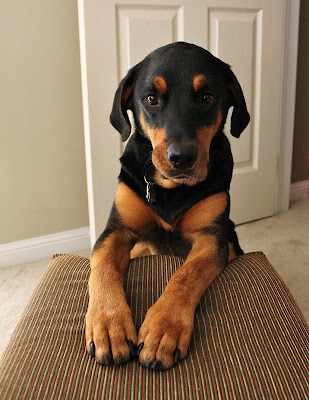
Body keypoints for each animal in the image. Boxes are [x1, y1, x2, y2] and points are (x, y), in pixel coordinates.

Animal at [85, 42, 249, 370]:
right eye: (151, 98)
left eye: (207, 97)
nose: (181, 157)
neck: (172, 190)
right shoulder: (117, 229)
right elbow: (104, 265)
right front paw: (108, 325)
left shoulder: (212, 237)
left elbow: (186, 275)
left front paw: (163, 328)